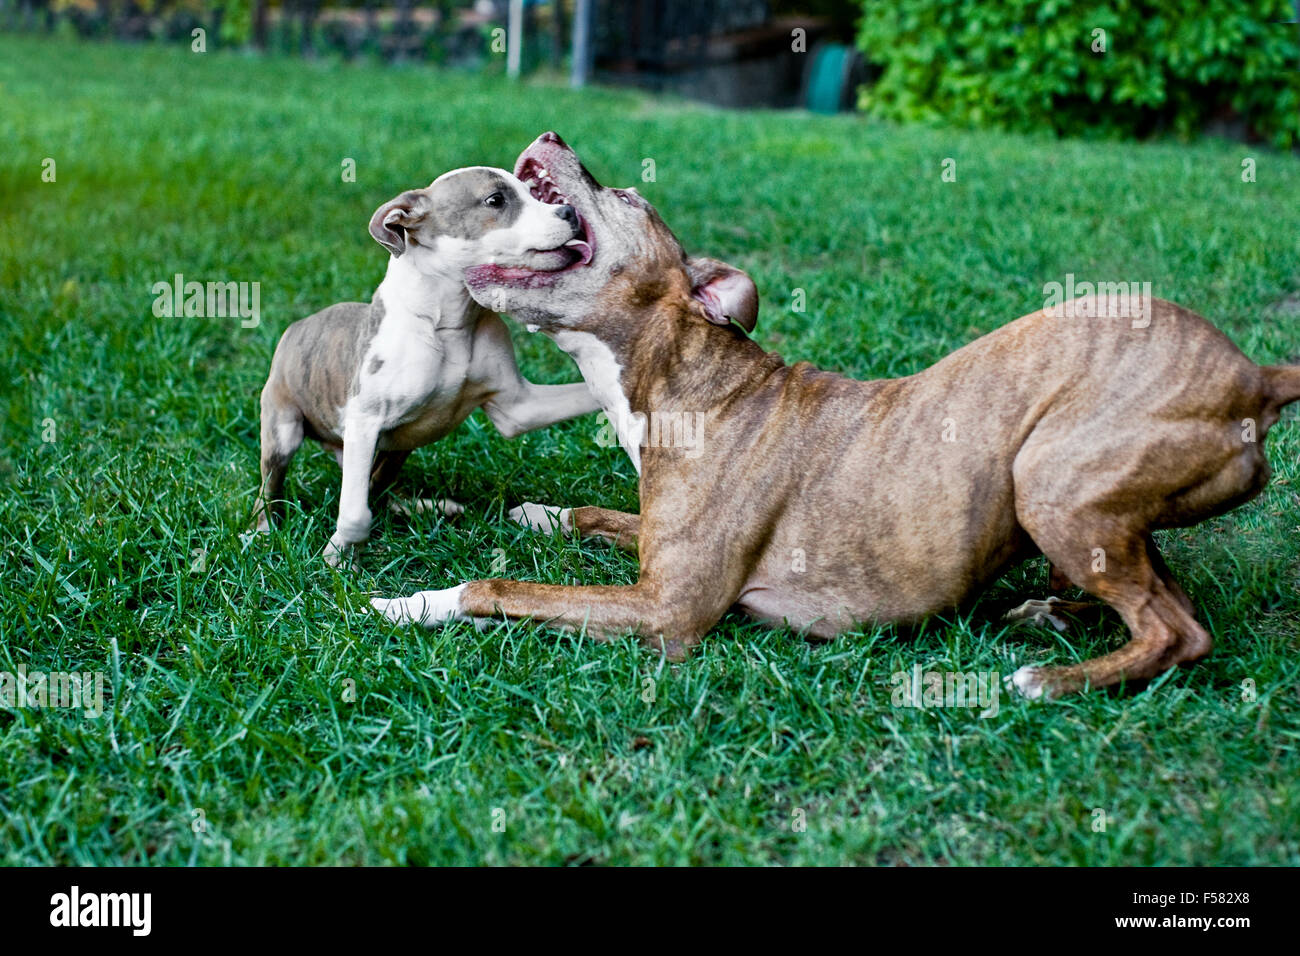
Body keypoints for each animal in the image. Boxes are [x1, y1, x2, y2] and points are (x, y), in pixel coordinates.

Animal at [252, 167, 598, 564]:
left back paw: (426, 507)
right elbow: (354, 512)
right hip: (283, 429)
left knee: (379, 488)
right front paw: (337, 556)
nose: (570, 211)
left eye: (531, 191)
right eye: (495, 200)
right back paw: (261, 532)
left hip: (398, 447)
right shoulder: (364, 421)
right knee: (273, 488)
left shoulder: (519, 407)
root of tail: (296, 326)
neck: (450, 321)